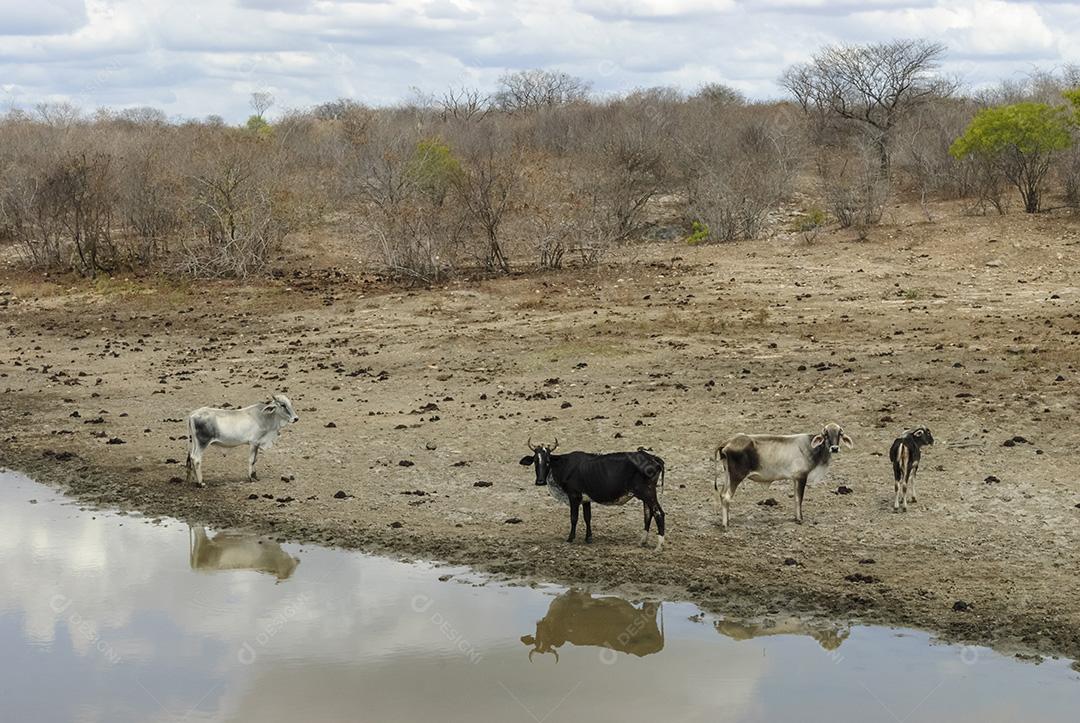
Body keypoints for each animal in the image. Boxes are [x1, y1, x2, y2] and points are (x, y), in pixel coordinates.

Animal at [520, 436, 665, 549]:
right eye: (535, 461)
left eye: (548, 461)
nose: (540, 481)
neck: (564, 465)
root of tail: (652, 457)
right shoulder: (586, 499)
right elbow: (587, 517)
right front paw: (588, 538)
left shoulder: (574, 496)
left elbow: (574, 517)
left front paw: (570, 538)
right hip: (645, 495)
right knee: (648, 514)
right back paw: (643, 541)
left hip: (647, 492)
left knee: (658, 513)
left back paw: (659, 545)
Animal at [712, 419, 855, 527]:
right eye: (826, 435)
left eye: (839, 434)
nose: (834, 448)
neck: (812, 448)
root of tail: (729, 441)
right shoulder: (802, 476)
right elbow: (799, 498)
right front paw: (800, 519)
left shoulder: (795, 478)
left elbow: (796, 498)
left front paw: (796, 517)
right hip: (736, 476)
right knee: (726, 496)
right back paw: (725, 524)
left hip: (728, 475)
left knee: (722, 494)